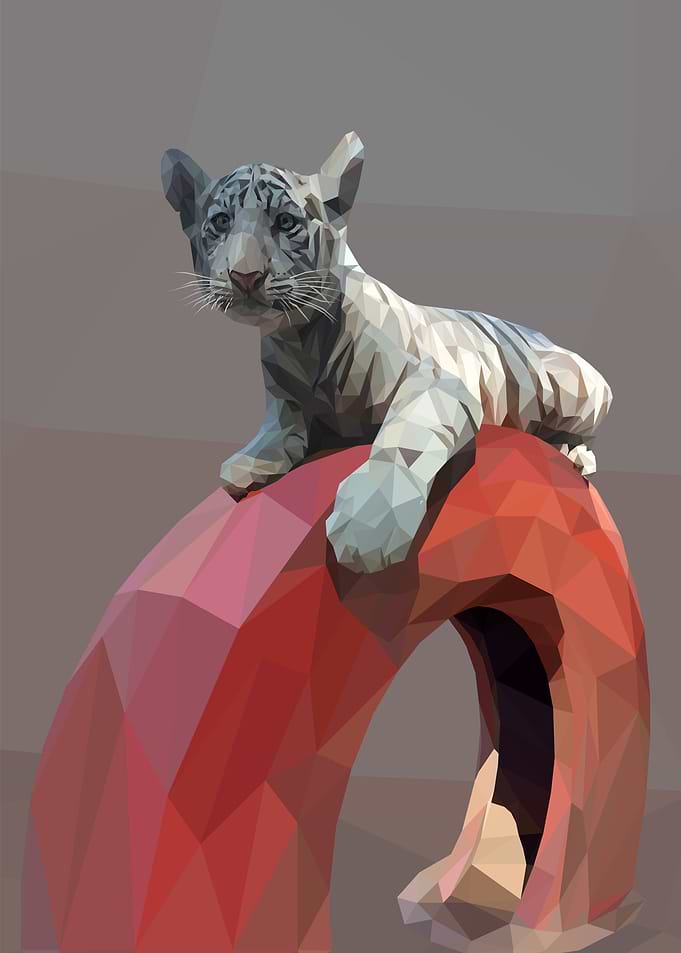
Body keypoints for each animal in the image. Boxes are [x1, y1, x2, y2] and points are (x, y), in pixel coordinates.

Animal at [162, 132, 612, 574]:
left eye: (285, 222)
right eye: (221, 222)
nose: (245, 276)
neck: (298, 338)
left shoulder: (436, 383)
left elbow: (405, 437)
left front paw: (370, 520)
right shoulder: (285, 401)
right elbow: (278, 429)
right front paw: (250, 461)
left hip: (578, 388)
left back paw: (575, 454)